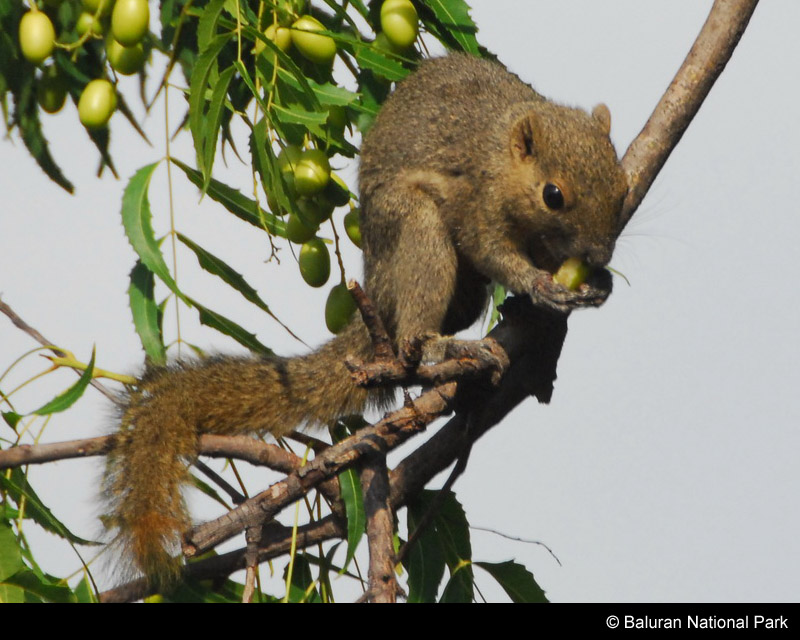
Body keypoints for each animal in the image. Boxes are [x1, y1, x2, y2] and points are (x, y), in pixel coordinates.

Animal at [100, 52, 628, 588]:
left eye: (623, 188)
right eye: (553, 195)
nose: (597, 253)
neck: (501, 157)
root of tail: (377, 281)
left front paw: (598, 282)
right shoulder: (477, 203)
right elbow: (492, 249)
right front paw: (540, 284)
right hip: (416, 229)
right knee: (414, 326)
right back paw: (444, 346)